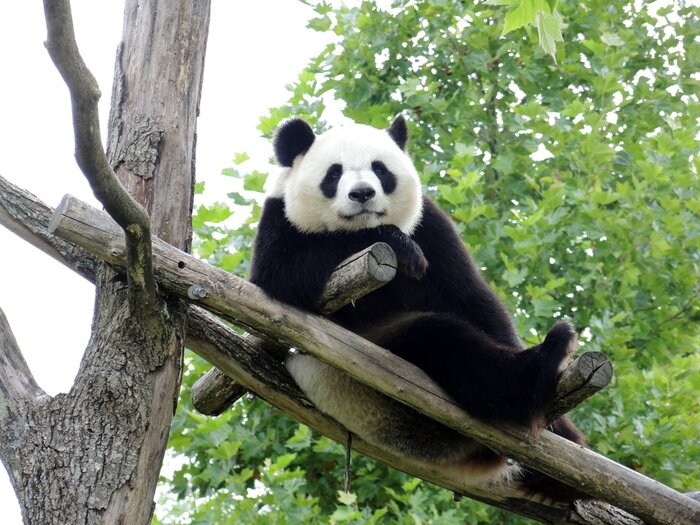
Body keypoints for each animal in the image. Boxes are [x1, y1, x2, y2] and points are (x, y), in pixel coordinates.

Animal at [250, 115, 584, 498]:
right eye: (333, 174)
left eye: (380, 169)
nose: (362, 194)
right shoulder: (280, 219)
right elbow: (279, 274)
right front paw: (397, 244)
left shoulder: (431, 226)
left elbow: (472, 298)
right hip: (372, 372)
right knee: (443, 342)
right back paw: (539, 366)